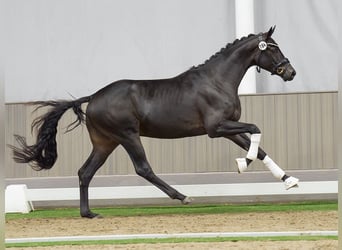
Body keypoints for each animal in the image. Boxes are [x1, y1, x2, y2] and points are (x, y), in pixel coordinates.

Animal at [10, 26, 300, 219]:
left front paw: (289, 180)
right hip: (128, 136)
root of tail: (93, 97)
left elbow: (259, 148)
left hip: (105, 142)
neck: (217, 81)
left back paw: (89, 214)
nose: (291, 72)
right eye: (273, 48)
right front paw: (242, 164)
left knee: (85, 172)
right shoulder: (216, 128)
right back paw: (183, 197)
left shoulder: (228, 128)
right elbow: (256, 130)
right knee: (143, 169)